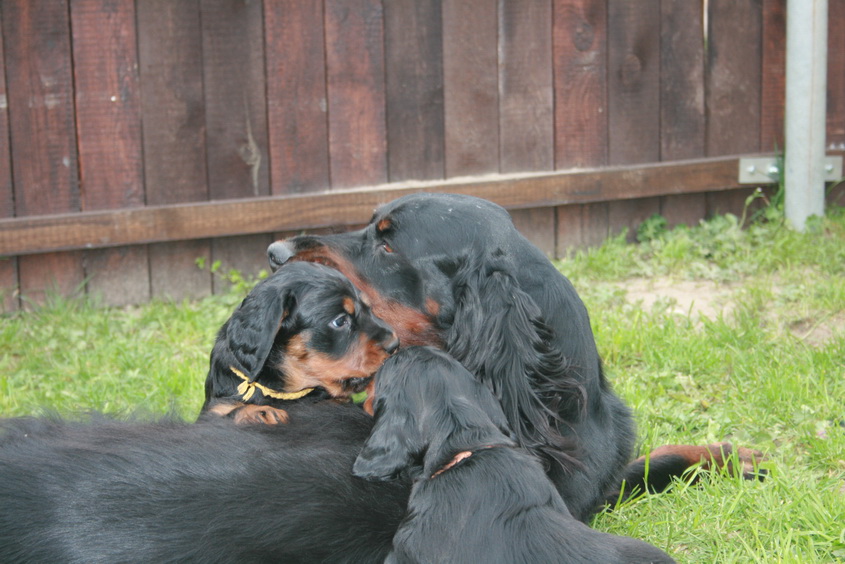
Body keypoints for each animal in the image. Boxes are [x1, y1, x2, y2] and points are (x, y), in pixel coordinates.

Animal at [201, 261, 399, 424]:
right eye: (340, 321)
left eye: (368, 308)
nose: (395, 345)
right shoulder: (216, 406)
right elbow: (227, 412)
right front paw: (260, 413)